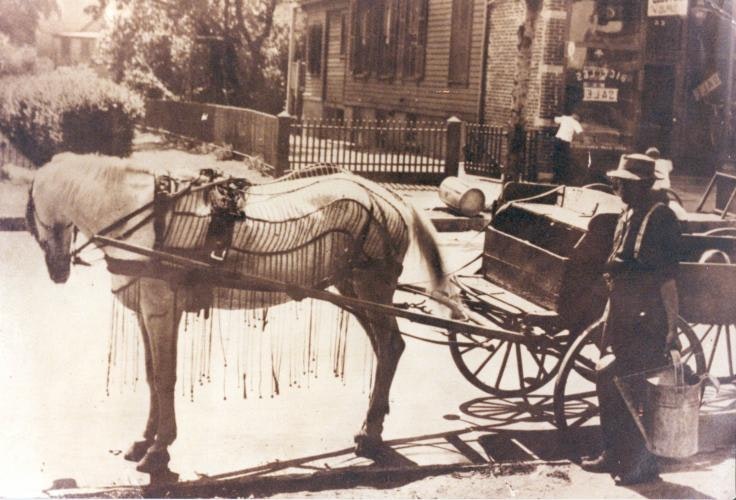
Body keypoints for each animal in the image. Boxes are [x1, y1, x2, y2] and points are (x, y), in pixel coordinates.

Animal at [21, 153, 448, 480]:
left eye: (32, 214)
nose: (57, 269)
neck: (147, 216)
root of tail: (390, 195)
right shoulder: (147, 309)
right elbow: (151, 373)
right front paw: (144, 440)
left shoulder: (161, 305)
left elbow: (164, 377)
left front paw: (160, 450)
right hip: (352, 287)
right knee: (387, 348)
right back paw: (374, 423)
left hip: (371, 285)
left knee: (389, 346)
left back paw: (371, 432)